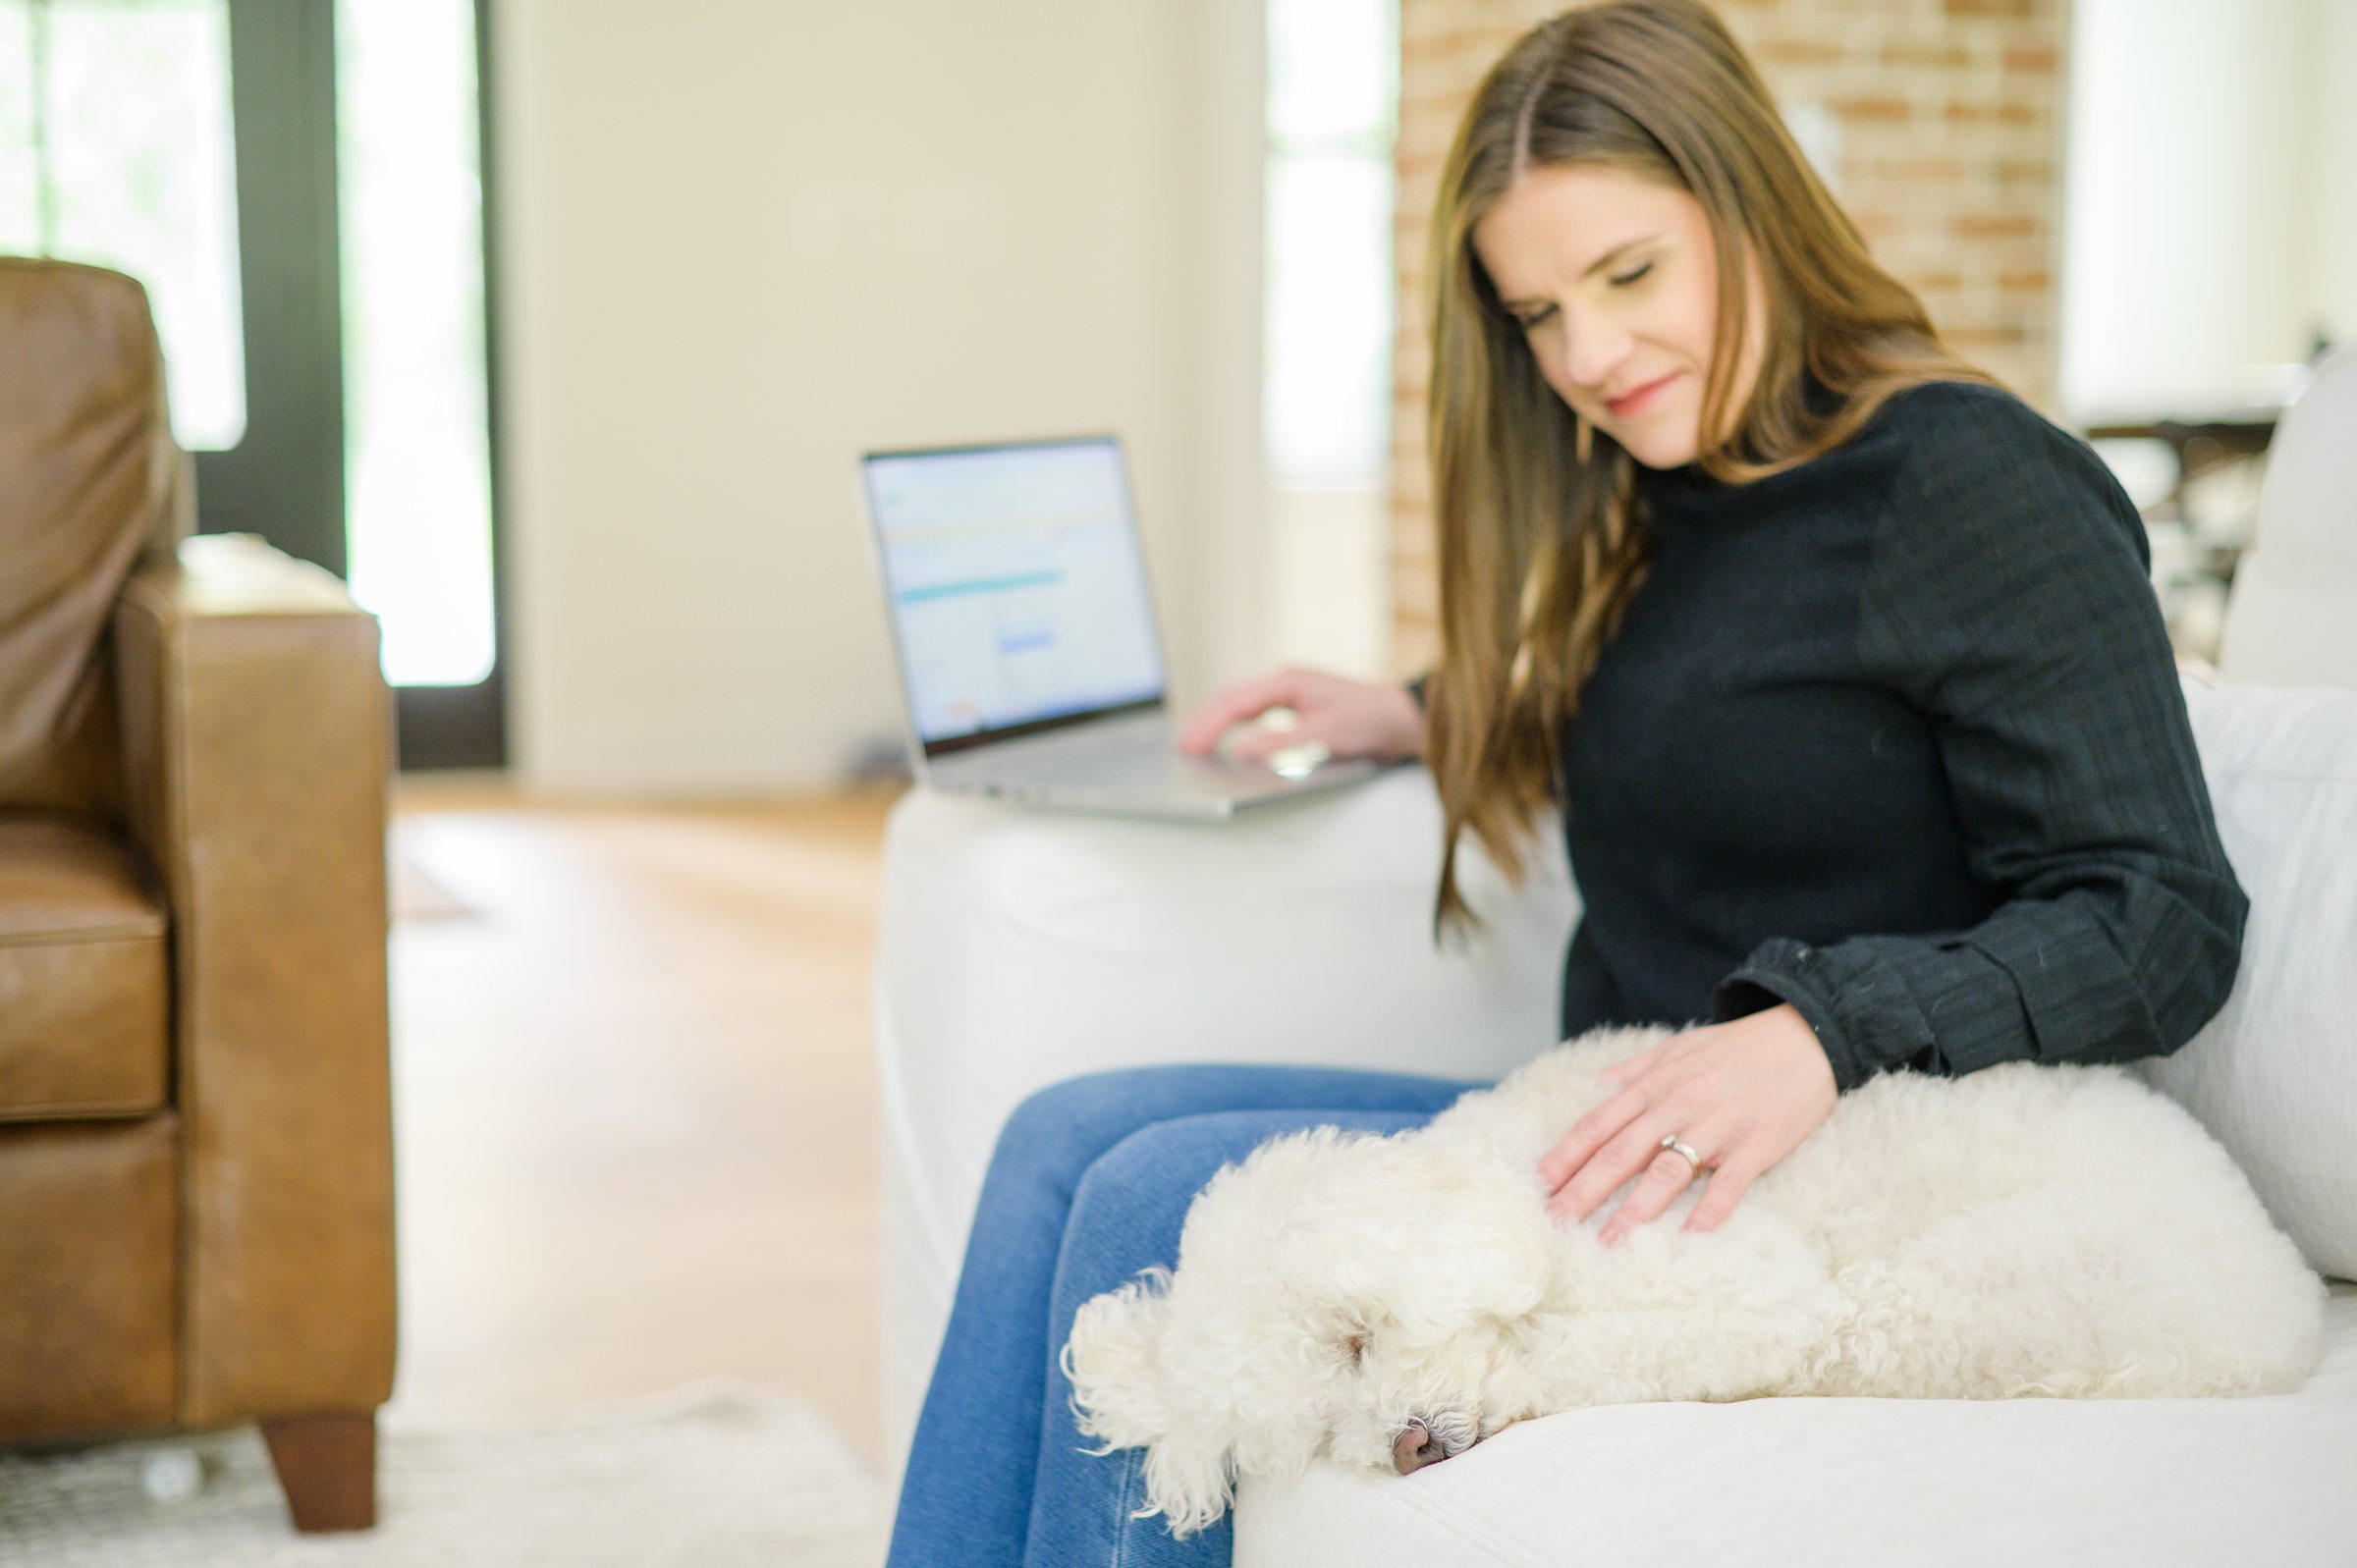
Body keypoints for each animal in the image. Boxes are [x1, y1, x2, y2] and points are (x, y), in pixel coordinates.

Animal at [1061, 1023, 2329, 1537]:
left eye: (1354, 1338)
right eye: (1321, 1430)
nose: (1411, 1445)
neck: (1524, 1188)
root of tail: (2293, 1301)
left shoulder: (1737, 1285)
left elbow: (1605, 1347)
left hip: (1965, 1294)